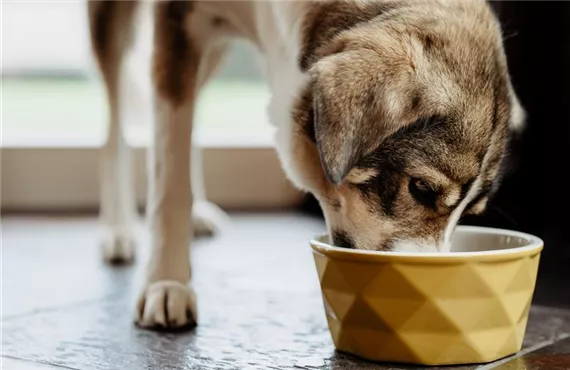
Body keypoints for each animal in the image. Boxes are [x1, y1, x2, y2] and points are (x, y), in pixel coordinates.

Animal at [87, 0, 524, 330]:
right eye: (420, 189)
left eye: (471, 213)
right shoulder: (178, 21)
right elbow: (169, 175)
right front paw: (166, 283)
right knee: (116, 113)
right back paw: (118, 228)